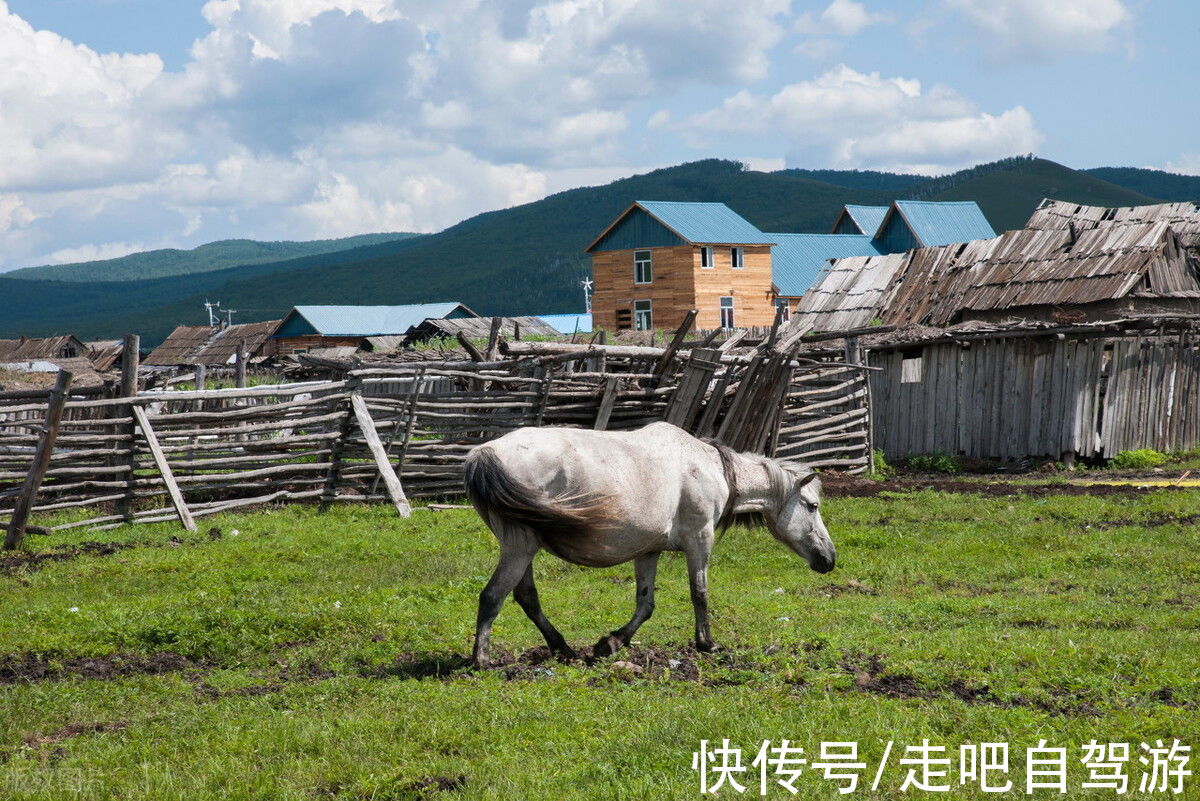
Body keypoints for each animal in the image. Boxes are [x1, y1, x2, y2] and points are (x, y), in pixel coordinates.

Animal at [458, 422, 835, 666]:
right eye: (812, 506)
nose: (829, 558)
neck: (710, 466)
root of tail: (483, 453)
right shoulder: (700, 539)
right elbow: (699, 593)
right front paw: (707, 644)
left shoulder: (649, 551)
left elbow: (645, 604)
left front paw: (610, 643)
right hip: (519, 548)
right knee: (492, 596)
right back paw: (482, 661)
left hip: (522, 549)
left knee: (525, 598)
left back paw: (562, 648)